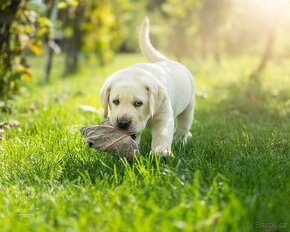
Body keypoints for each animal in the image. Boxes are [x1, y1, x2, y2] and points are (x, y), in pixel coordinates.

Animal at [99, 17, 195, 156]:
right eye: (115, 101)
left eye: (138, 103)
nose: (122, 123)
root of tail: (166, 60)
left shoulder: (163, 115)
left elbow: (162, 134)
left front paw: (161, 152)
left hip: (189, 104)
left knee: (184, 124)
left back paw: (180, 139)